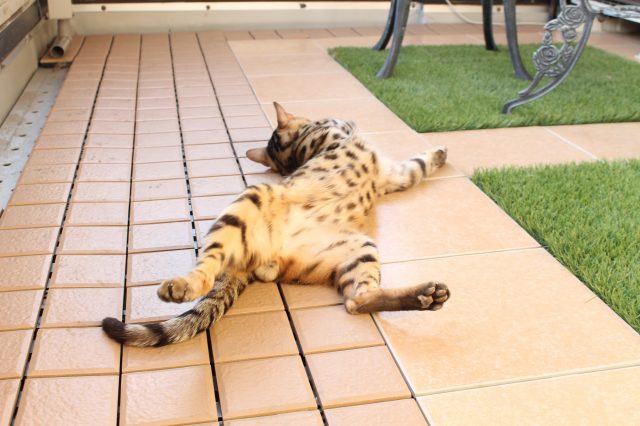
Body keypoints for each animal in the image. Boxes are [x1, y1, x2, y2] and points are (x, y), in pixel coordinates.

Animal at [102, 102, 450, 347]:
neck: (298, 149)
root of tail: (269, 258)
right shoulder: (342, 132)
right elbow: (349, 124)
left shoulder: (394, 176)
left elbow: (418, 165)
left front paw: (440, 153)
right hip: (252, 199)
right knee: (207, 265)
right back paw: (183, 285)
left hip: (359, 249)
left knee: (355, 301)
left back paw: (426, 296)